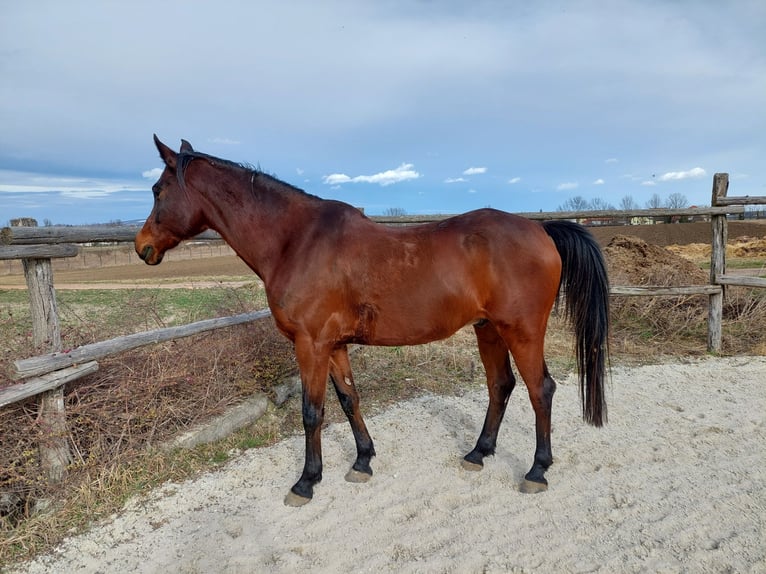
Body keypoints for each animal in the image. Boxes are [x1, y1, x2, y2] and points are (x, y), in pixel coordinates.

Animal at [135, 137, 608, 506]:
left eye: (158, 189)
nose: (142, 247)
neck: (295, 241)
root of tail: (541, 230)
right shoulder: (334, 344)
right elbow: (349, 399)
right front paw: (362, 460)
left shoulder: (309, 344)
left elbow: (312, 411)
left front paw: (306, 481)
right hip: (487, 329)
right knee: (501, 386)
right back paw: (478, 453)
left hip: (521, 331)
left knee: (540, 390)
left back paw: (536, 471)